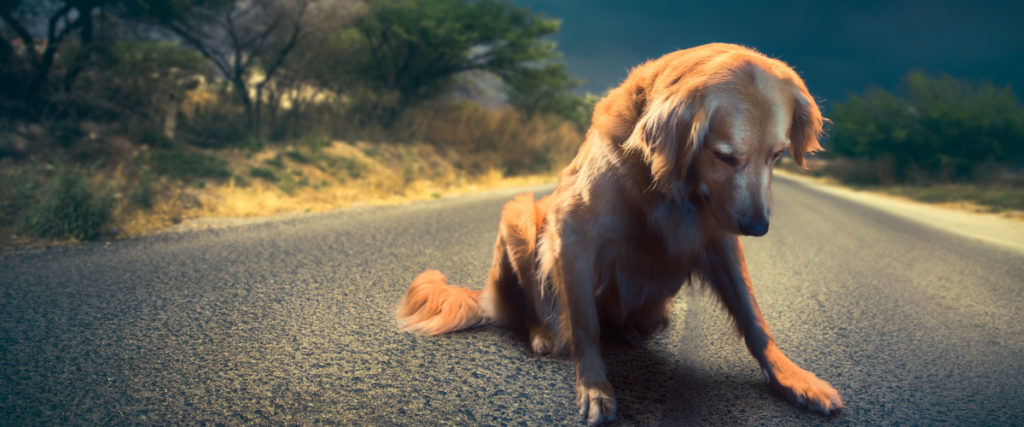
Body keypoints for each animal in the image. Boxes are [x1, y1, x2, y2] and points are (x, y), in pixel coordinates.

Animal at [395, 43, 843, 421]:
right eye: (724, 156)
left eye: (777, 156)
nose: (758, 227)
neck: (666, 184)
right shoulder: (572, 232)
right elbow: (584, 323)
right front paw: (595, 389)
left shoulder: (719, 241)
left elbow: (753, 317)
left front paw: (793, 378)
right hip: (519, 213)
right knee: (530, 311)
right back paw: (543, 334)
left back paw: (635, 330)